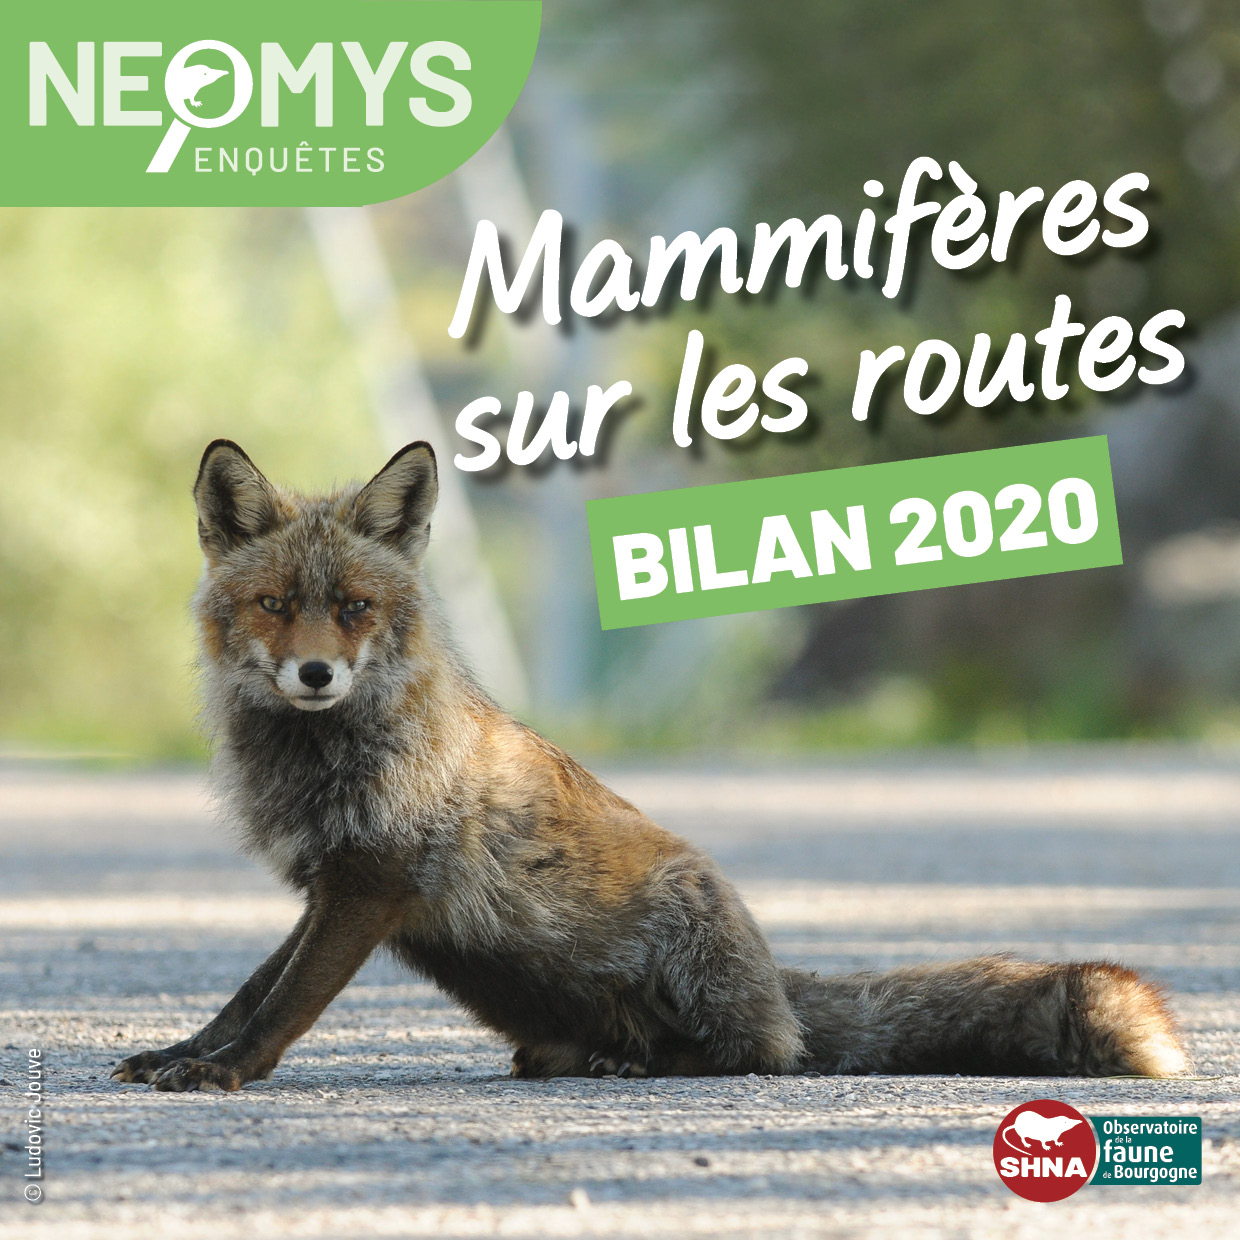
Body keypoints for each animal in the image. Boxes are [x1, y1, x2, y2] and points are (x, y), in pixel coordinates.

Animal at [112, 439, 1190, 1092]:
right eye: (274, 605)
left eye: (353, 609)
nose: (315, 673)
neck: (323, 754)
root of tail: (773, 976)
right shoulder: (326, 883)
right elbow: (248, 991)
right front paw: (184, 1052)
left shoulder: (371, 879)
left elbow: (284, 1004)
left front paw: (223, 1072)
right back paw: (577, 1057)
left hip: (691, 937)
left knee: (760, 1055)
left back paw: (646, 1061)